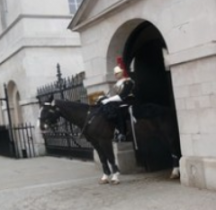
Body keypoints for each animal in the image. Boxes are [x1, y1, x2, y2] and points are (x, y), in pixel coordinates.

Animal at [38, 96, 181, 185]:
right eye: (41, 110)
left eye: (47, 110)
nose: (41, 127)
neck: (89, 117)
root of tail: (170, 109)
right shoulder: (95, 143)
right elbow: (103, 159)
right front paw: (105, 177)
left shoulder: (104, 141)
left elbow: (111, 158)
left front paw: (115, 177)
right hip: (163, 136)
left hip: (169, 136)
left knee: (175, 151)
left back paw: (175, 173)